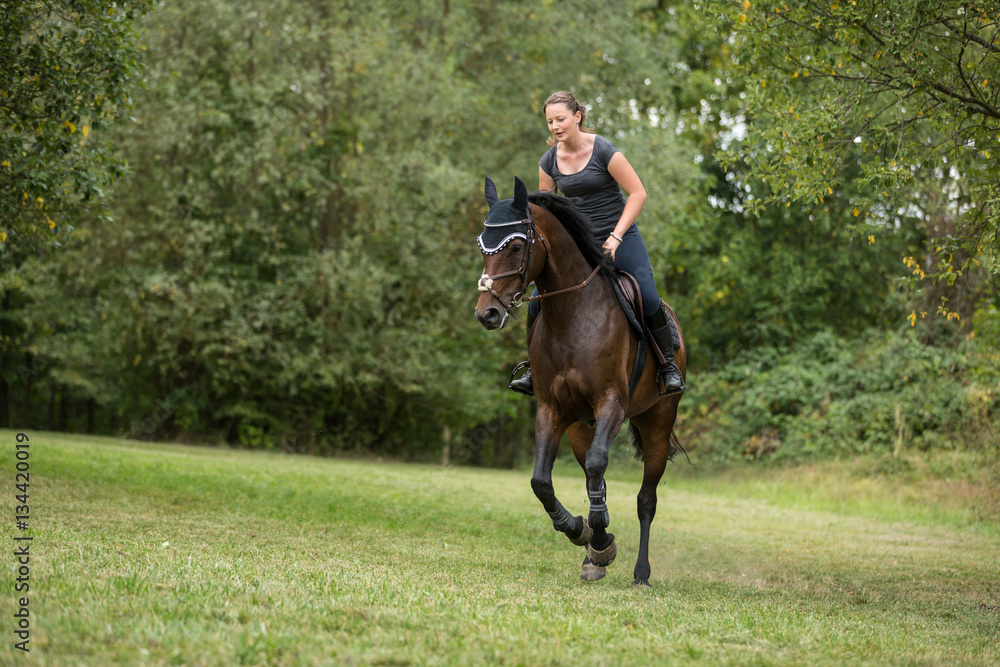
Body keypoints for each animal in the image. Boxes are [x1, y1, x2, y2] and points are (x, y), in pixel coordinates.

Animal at [472, 175, 684, 588]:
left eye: (516, 246)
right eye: (482, 245)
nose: (486, 313)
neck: (573, 314)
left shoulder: (611, 403)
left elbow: (601, 467)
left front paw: (601, 539)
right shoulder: (552, 410)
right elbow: (542, 481)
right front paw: (583, 532)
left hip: (657, 421)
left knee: (645, 498)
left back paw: (640, 573)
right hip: (580, 428)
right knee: (592, 478)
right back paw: (593, 558)